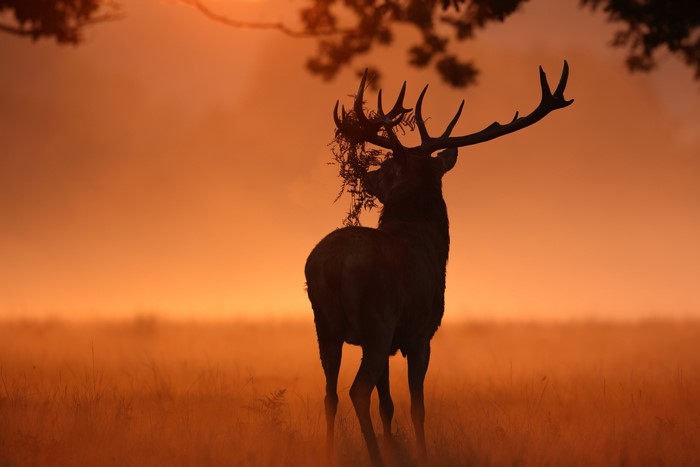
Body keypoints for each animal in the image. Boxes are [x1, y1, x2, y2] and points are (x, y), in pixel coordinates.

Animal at [305, 62, 573, 466]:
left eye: (386, 166)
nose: (367, 175)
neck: (431, 244)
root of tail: (334, 264)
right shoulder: (421, 333)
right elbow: (417, 406)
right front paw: (419, 453)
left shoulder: (394, 339)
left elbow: (388, 406)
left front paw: (394, 446)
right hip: (376, 320)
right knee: (356, 390)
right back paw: (374, 458)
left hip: (325, 326)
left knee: (330, 394)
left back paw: (328, 453)